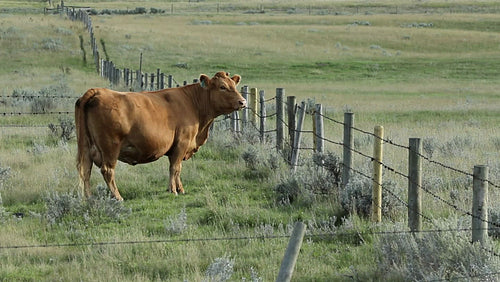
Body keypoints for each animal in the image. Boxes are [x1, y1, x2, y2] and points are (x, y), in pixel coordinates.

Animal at [75, 71, 245, 202]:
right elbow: (175, 167)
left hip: (86, 146)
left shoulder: (175, 148)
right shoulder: (182, 143)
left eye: (234, 86)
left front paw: (179, 188)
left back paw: (88, 198)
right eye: (222, 87)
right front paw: (174, 190)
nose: (242, 101)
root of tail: (97, 91)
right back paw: (118, 197)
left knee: (86, 170)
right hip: (110, 147)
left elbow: (176, 169)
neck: (193, 104)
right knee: (107, 171)